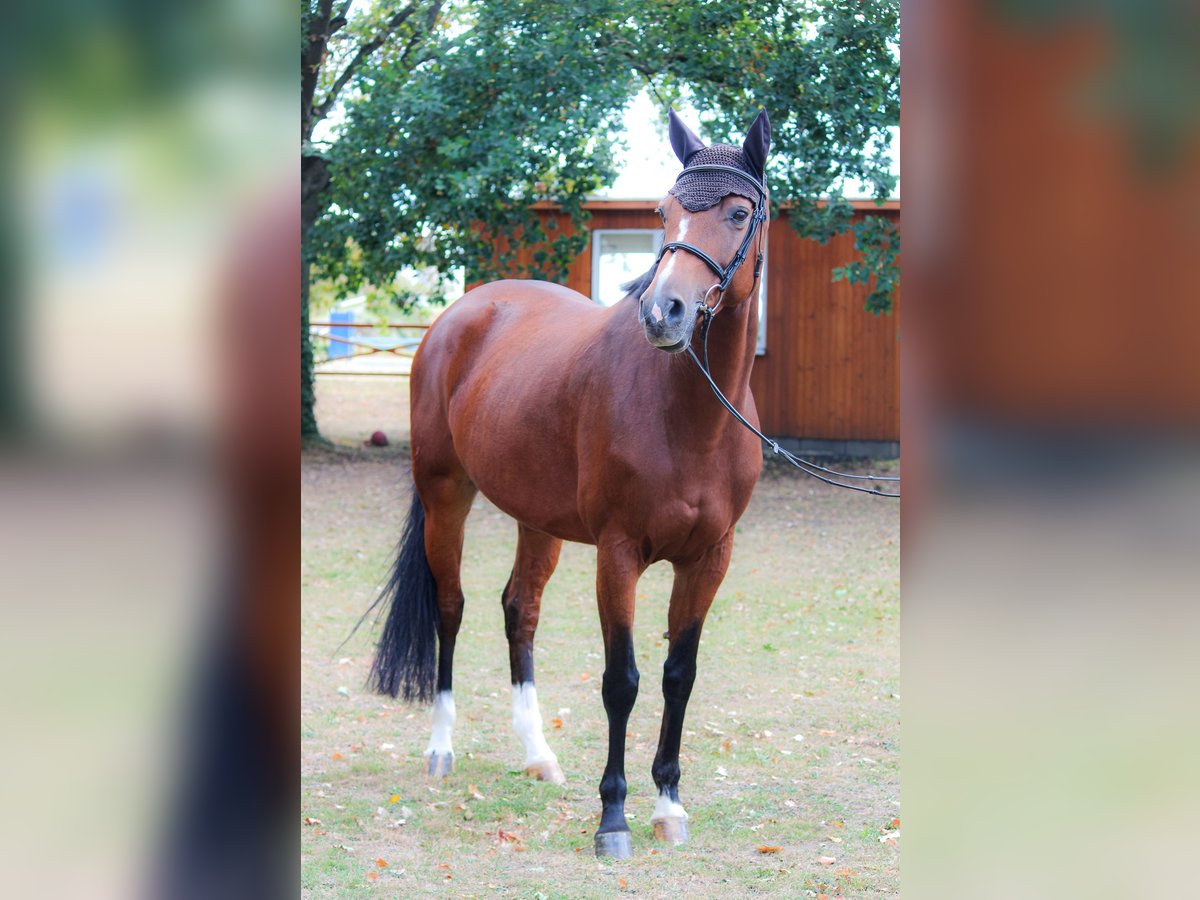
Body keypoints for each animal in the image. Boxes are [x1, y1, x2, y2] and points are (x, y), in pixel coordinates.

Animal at [364, 109, 772, 864]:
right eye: (664, 212)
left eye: (737, 212)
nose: (665, 312)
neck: (688, 416)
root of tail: (463, 313)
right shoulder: (618, 554)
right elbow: (622, 682)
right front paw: (612, 818)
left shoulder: (709, 559)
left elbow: (678, 676)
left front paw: (668, 805)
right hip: (444, 497)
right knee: (450, 609)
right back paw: (441, 748)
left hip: (537, 519)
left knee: (518, 609)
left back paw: (537, 755)